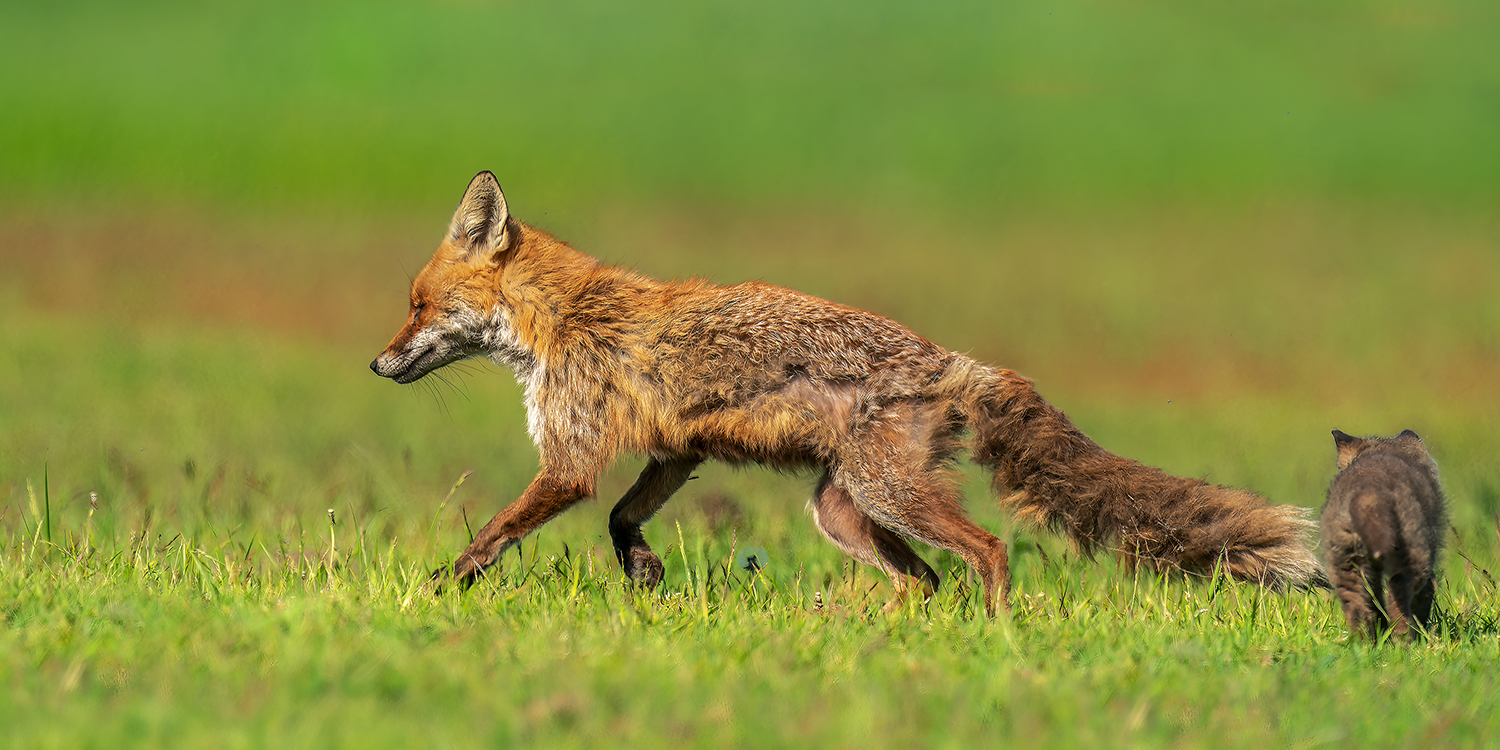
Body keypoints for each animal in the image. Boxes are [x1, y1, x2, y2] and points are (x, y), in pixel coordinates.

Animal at [369, 171, 1320, 615]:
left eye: (416, 305)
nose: (377, 367)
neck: (563, 317)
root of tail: (954, 361)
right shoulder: (673, 451)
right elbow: (619, 518)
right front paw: (642, 570)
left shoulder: (570, 459)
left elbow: (497, 532)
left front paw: (439, 588)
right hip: (842, 510)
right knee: (924, 581)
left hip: (884, 494)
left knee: (985, 552)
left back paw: (999, 635)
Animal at [1320, 432, 1446, 642]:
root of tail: (1369, 494)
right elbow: (1425, 597)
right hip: (1414, 555)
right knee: (1399, 593)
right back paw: (1405, 640)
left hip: (1346, 562)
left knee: (1358, 606)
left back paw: (1364, 644)